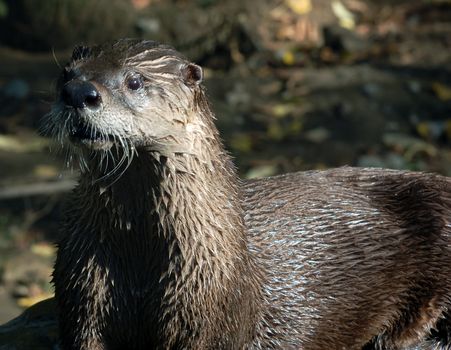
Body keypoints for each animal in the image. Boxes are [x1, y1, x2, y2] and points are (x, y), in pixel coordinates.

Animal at [41, 39, 451, 350]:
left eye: (134, 81)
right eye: (66, 74)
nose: (78, 93)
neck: (141, 255)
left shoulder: (208, 312)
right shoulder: (83, 292)